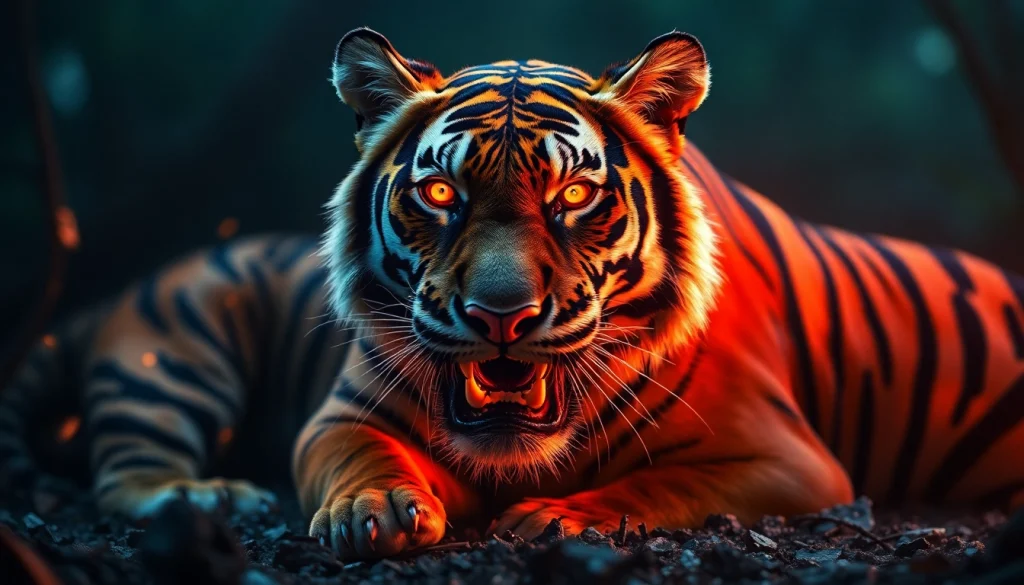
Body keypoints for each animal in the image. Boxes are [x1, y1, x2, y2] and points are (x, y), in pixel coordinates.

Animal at [1, 27, 1023, 562]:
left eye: (572, 197)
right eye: (440, 194)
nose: (501, 316)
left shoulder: (786, 459)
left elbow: (666, 479)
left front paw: (566, 514)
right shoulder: (338, 415)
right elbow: (359, 457)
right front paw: (375, 509)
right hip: (179, 352)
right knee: (128, 472)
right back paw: (213, 496)